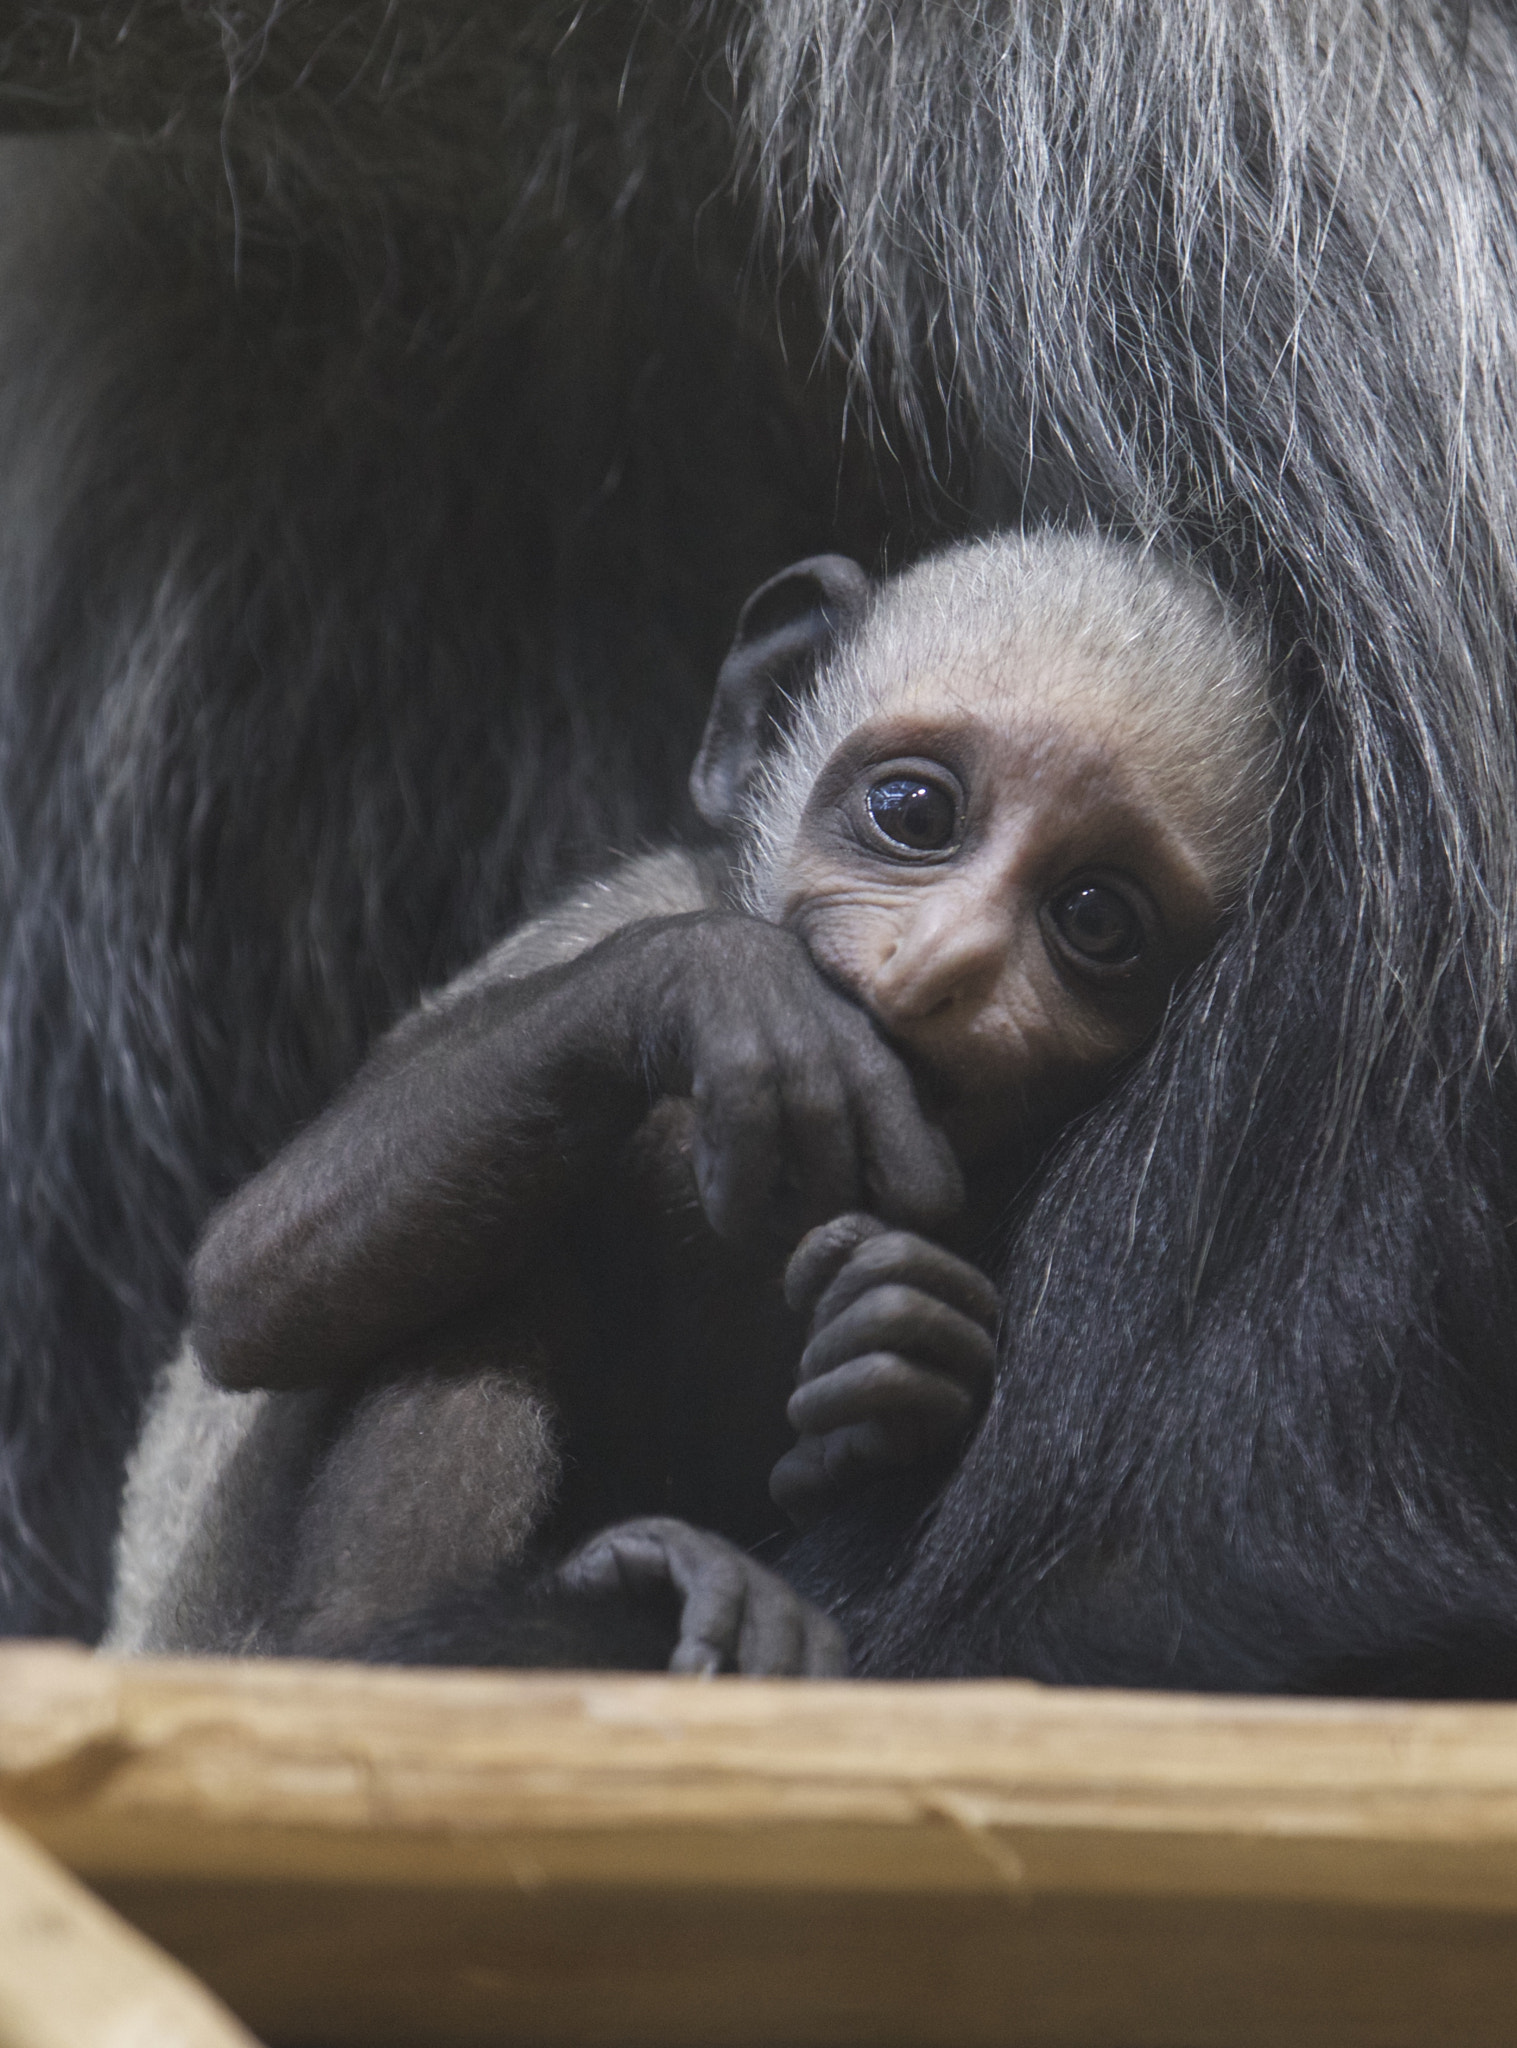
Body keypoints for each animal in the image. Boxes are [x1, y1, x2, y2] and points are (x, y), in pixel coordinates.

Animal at [109, 528, 1277, 1679]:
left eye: (1093, 918)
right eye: (914, 812)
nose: (946, 964)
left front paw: (887, 1343)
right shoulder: (613, 916)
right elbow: (252, 1280)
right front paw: (727, 985)